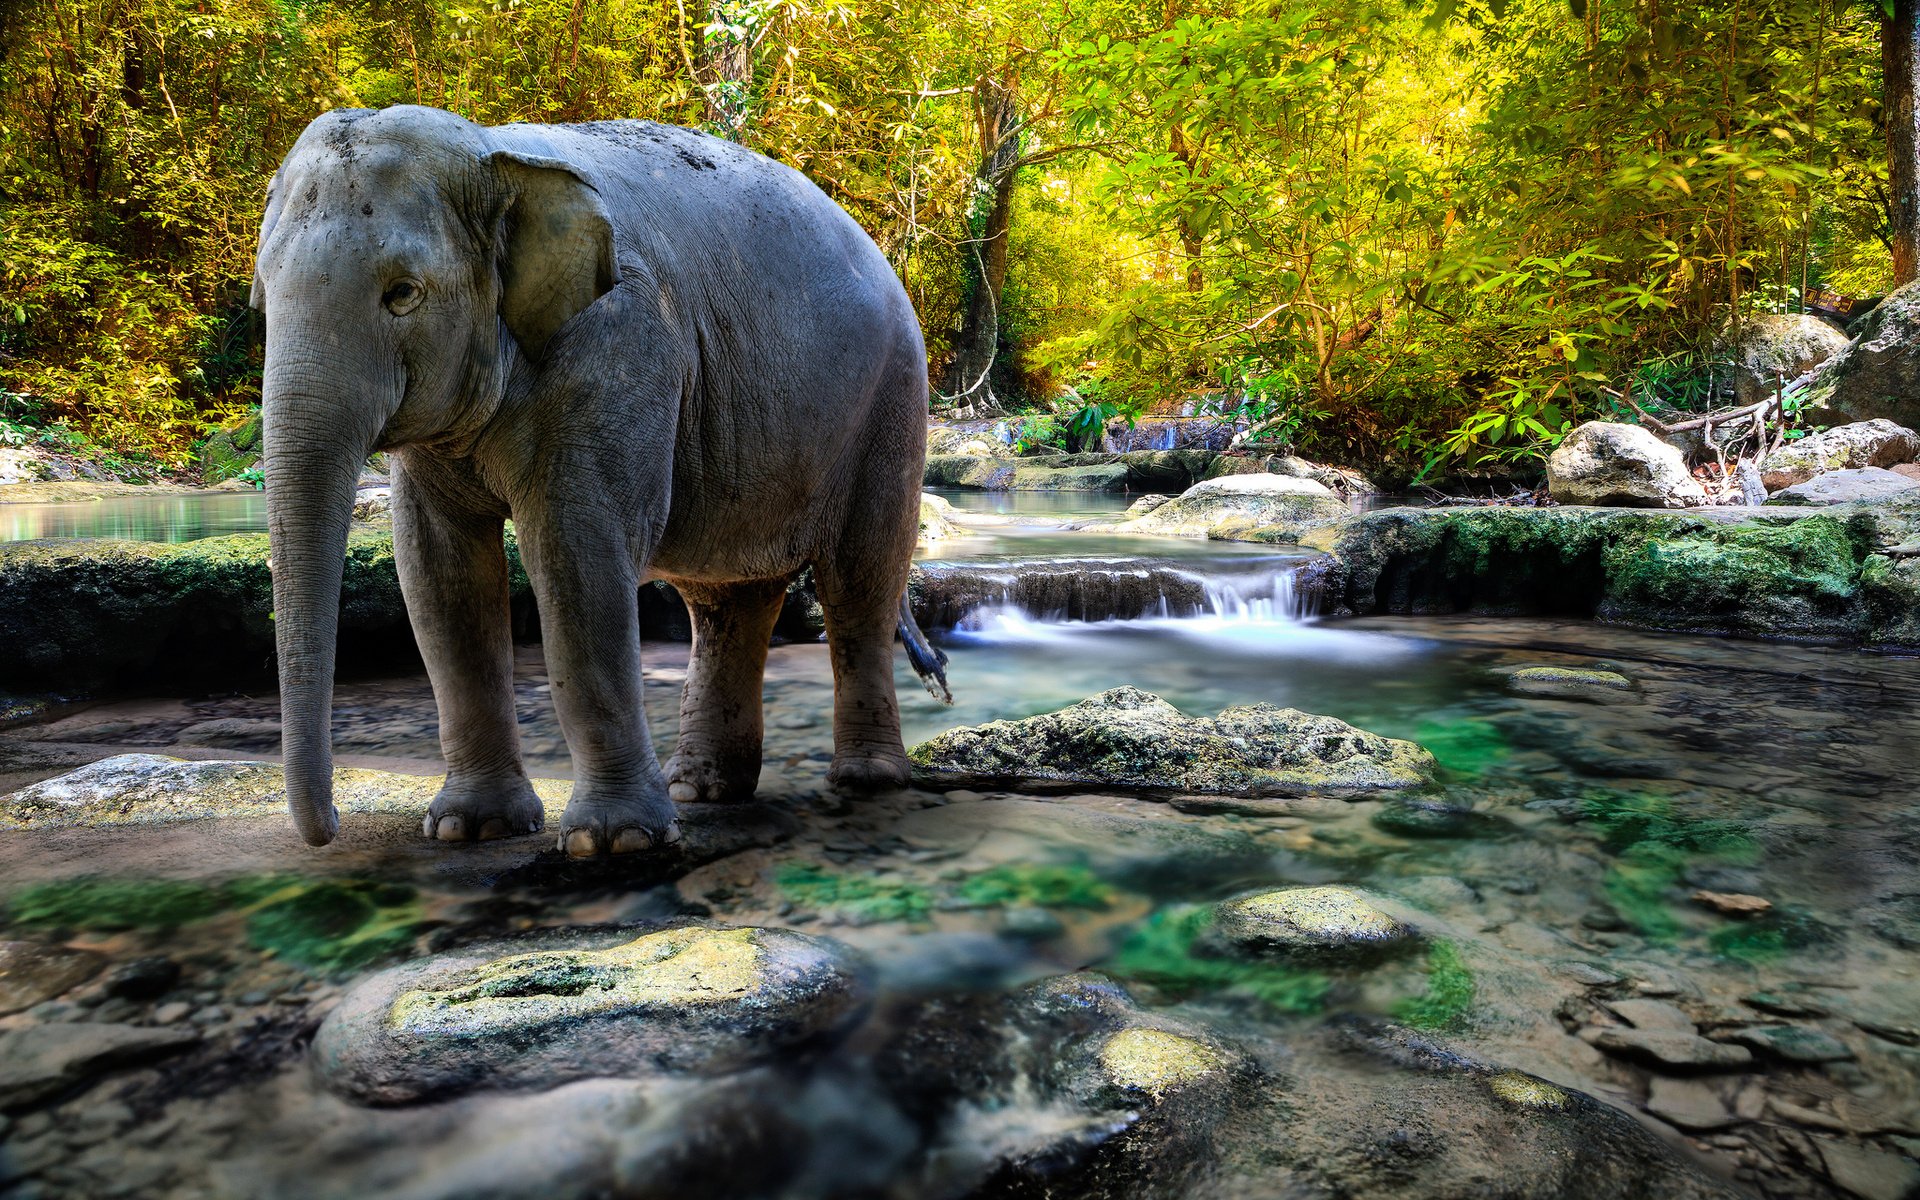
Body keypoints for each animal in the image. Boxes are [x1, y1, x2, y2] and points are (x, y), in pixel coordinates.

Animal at [251, 105, 948, 857]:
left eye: (402, 294)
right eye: (264, 295)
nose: (326, 833)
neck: (495, 154)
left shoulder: (619, 348)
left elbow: (575, 553)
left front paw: (613, 843)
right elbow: (439, 575)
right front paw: (469, 828)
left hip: (892, 403)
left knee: (859, 582)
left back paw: (865, 781)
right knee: (727, 601)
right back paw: (701, 789)